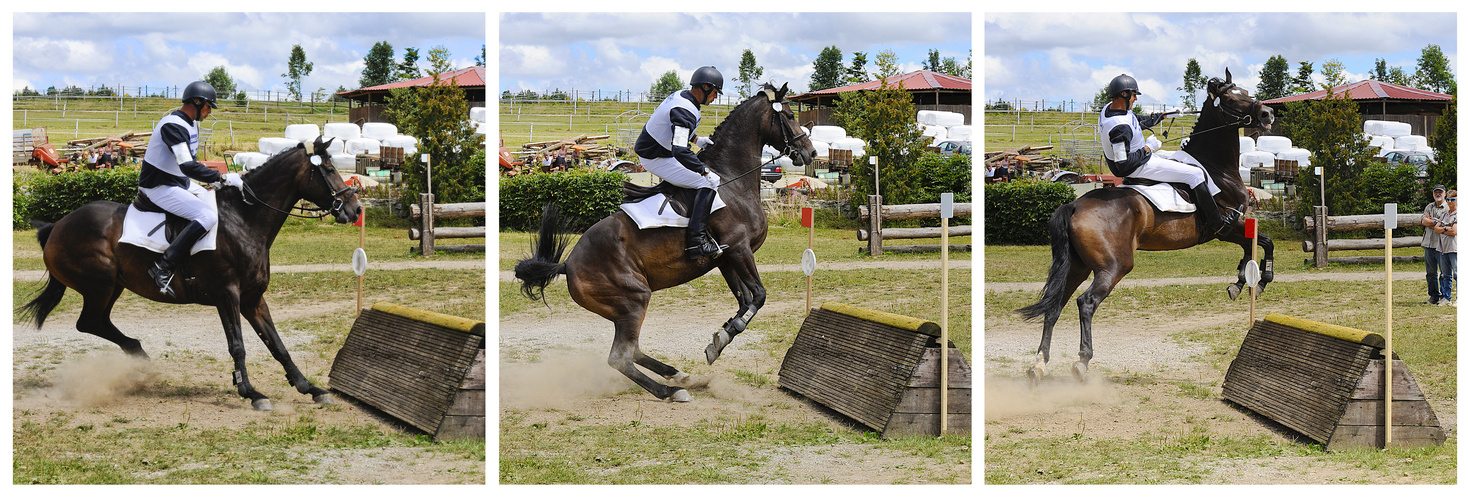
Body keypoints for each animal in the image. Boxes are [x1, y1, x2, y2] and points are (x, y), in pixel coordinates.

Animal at [19, 134, 361, 407]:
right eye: (329, 170)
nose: (355, 209)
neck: (243, 219)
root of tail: (57, 226)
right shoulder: (227, 295)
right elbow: (238, 346)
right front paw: (251, 393)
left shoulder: (253, 298)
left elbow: (277, 345)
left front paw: (309, 388)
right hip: (99, 285)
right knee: (88, 322)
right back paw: (143, 360)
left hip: (113, 286)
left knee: (97, 322)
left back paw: (141, 358)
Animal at [513, 81, 816, 401]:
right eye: (790, 116)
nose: (810, 152)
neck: (731, 178)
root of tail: (568, 265)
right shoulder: (739, 249)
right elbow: (758, 295)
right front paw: (725, 334)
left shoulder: (725, 257)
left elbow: (746, 300)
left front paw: (721, 339)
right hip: (634, 299)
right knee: (621, 357)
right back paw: (669, 390)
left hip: (623, 311)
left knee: (633, 350)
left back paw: (677, 374)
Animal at [1015, 69, 1280, 381]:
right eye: (1230, 99)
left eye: (1246, 92)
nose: (1267, 113)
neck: (1216, 168)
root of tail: (1075, 204)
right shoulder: (1228, 226)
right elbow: (1265, 243)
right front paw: (1259, 280)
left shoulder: (1232, 229)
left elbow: (1252, 247)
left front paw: (1240, 282)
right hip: (1115, 266)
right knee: (1086, 303)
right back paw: (1082, 360)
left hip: (1078, 266)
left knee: (1055, 305)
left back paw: (1039, 363)